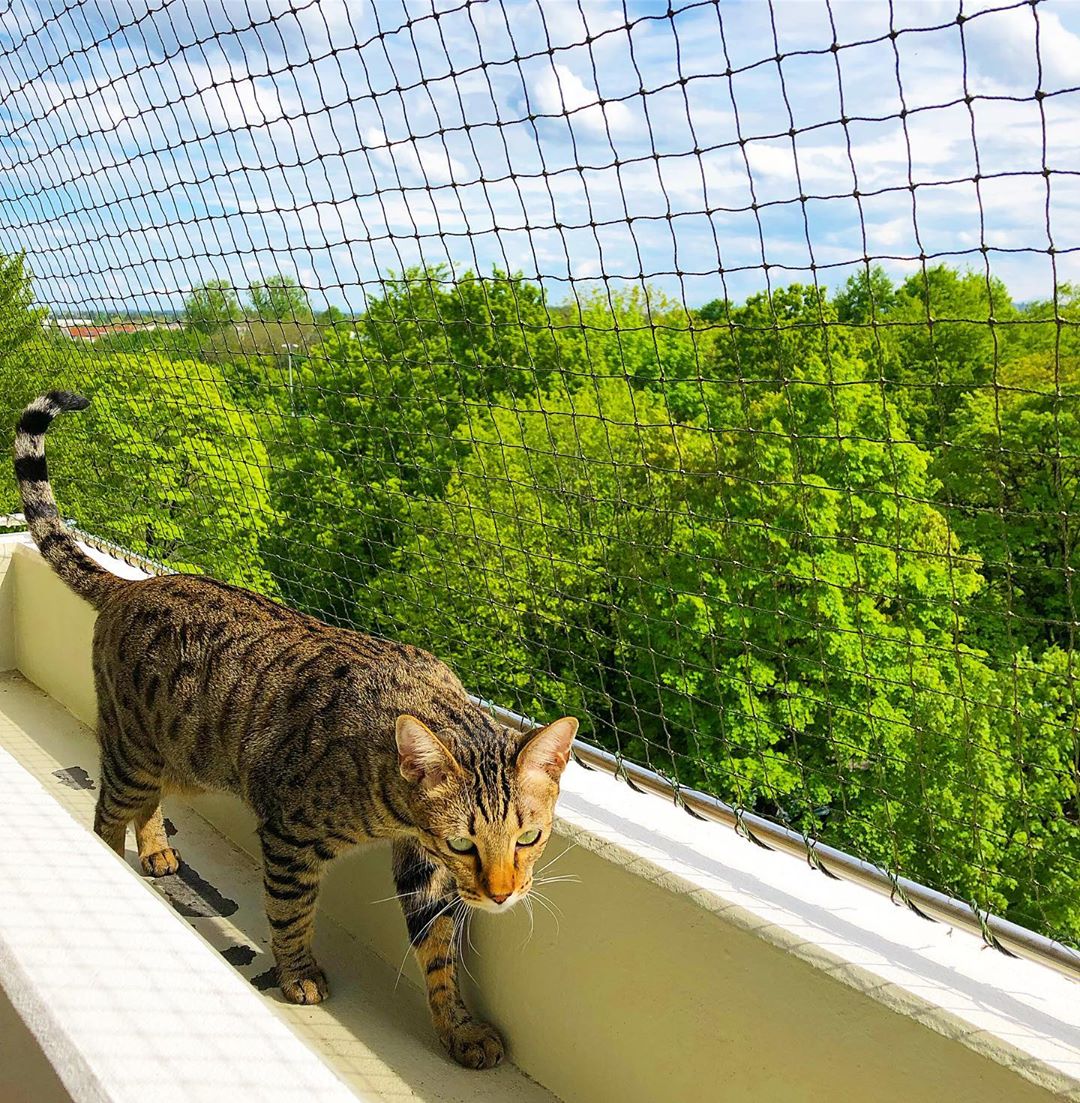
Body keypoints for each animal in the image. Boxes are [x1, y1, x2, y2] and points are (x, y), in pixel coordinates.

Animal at [12, 388, 578, 1067]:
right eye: (465, 843)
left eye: (529, 838)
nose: (501, 895)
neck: (390, 801)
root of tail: (133, 584)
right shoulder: (290, 834)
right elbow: (290, 912)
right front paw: (297, 972)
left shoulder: (423, 868)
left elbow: (439, 951)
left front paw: (459, 1027)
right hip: (135, 752)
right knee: (106, 815)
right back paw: (114, 863)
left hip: (179, 754)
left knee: (147, 805)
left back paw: (154, 848)